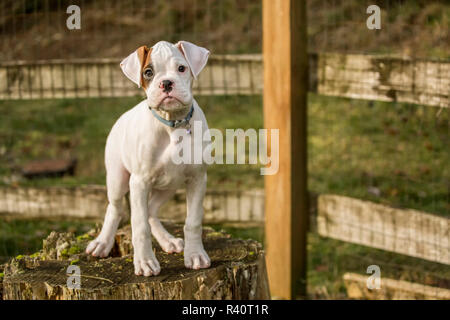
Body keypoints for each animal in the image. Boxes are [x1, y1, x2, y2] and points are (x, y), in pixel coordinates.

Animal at [86, 40, 213, 276]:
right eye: (148, 72)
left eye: (181, 68)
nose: (166, 83)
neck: (172, 124)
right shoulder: (139, 182)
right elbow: (139, 225)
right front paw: (145, 261)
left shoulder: (197, 178)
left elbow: (192, 221)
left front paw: (195, 255)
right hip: (118, 179)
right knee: (115, 209)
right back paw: (102, 243)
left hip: (169, 185)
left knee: (152, 210)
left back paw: (168, 241)